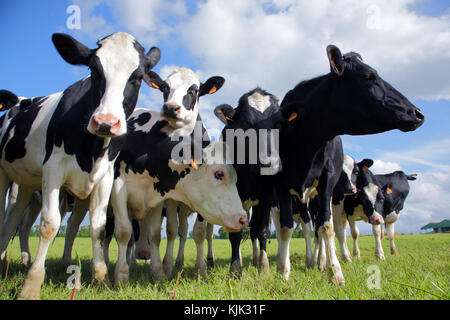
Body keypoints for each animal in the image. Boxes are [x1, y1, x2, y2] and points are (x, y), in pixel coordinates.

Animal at [0, 31, 161, 298]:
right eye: (94, 71)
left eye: (137, 77)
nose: (106, 122)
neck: (92, 150)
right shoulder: (53, 169)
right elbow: (49, 224)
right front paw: (31, 285)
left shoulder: (105, 177)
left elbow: (98, 228)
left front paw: (101, 278)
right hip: (5, 176)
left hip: (25, 185)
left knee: (14, 220)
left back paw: (5, 262)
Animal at [214, 87, 282, 278]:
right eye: (245, 123)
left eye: (279, 123)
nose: (269, 162)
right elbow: (235, 233)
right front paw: (235, 269)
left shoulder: (267, 196)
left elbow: (262, 230)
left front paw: (264, 267)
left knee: (253, 229)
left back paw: (255, 259)